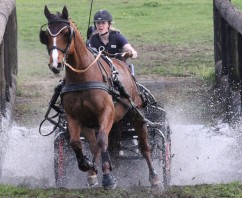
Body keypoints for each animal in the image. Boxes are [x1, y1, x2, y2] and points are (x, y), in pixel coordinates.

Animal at [39, 5, 161, 190]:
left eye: (66, 33)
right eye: (46, 35)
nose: (55, 64)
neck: (83, 77)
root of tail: (122, 62)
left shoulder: (106, 113)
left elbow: (103, 140)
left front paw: (108, 178)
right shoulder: (75, 117)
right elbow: (76, 143)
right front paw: (88, 166)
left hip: (136, 114)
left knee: (143, 145)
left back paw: (154, 177)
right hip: (98, 123)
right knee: (95, 145)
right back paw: (93, 173)